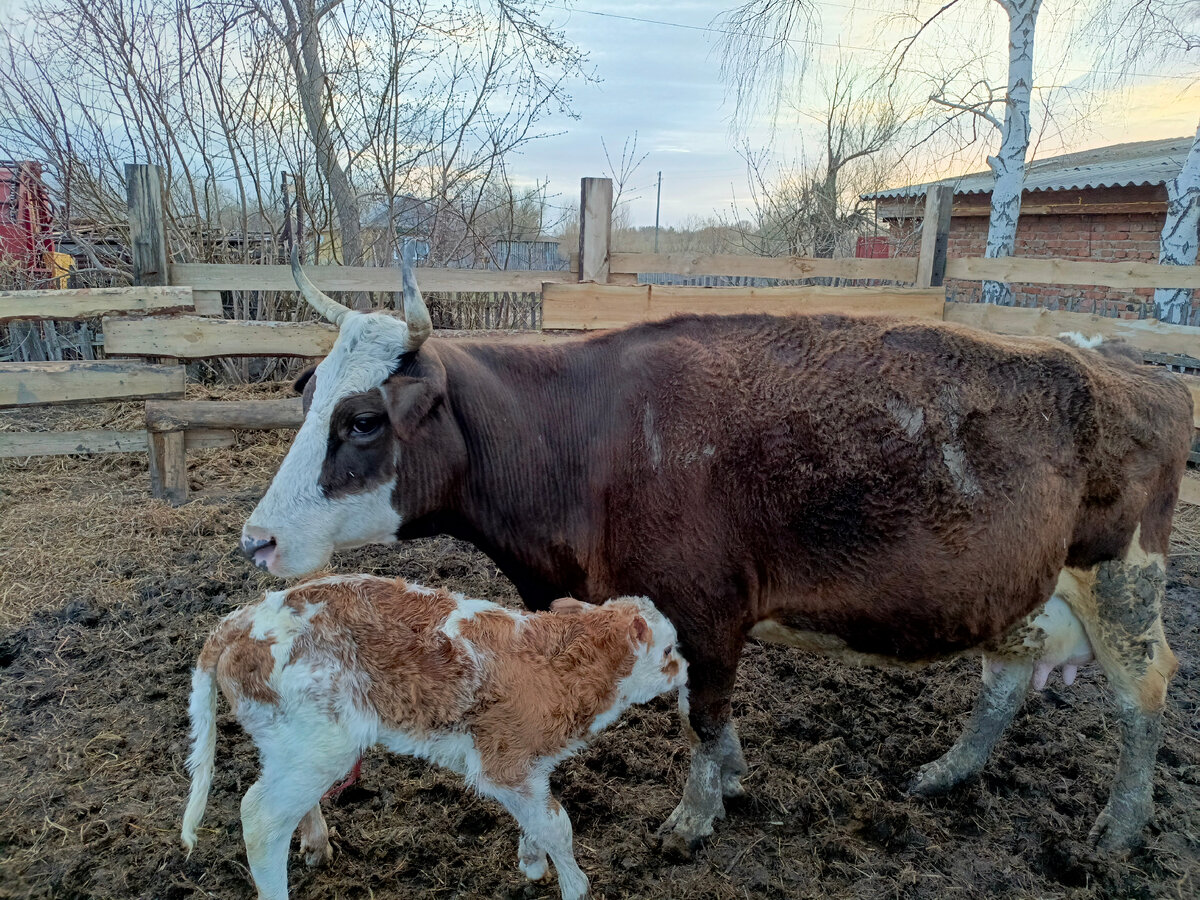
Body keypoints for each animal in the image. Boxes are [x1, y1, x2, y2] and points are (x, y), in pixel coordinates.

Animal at [177, 578, 686, 900]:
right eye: (667, 649)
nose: (686, 668)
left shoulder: (530, 768)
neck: (559, 665)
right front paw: (574, 886)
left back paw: (317, 846)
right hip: (320, 742)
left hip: (296, 749)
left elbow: (540, 821)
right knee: (260, 818)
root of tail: (239, 620)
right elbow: (558, 824)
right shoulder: (504, 762)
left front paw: (531, 862)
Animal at [241, 252, 1190, 854]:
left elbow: (702, 712)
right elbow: (706, 717)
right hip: (1028, 588)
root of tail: (1134, 366)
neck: (586, 439)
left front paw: (694, 818)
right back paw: (946, 773)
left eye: (364, 420)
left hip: (1123, 577)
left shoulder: (706, 607)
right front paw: (731, 781)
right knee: (1004, 678)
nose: (259, 539)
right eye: (307, 398)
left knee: (1146, 689)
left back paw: (1121, 827)